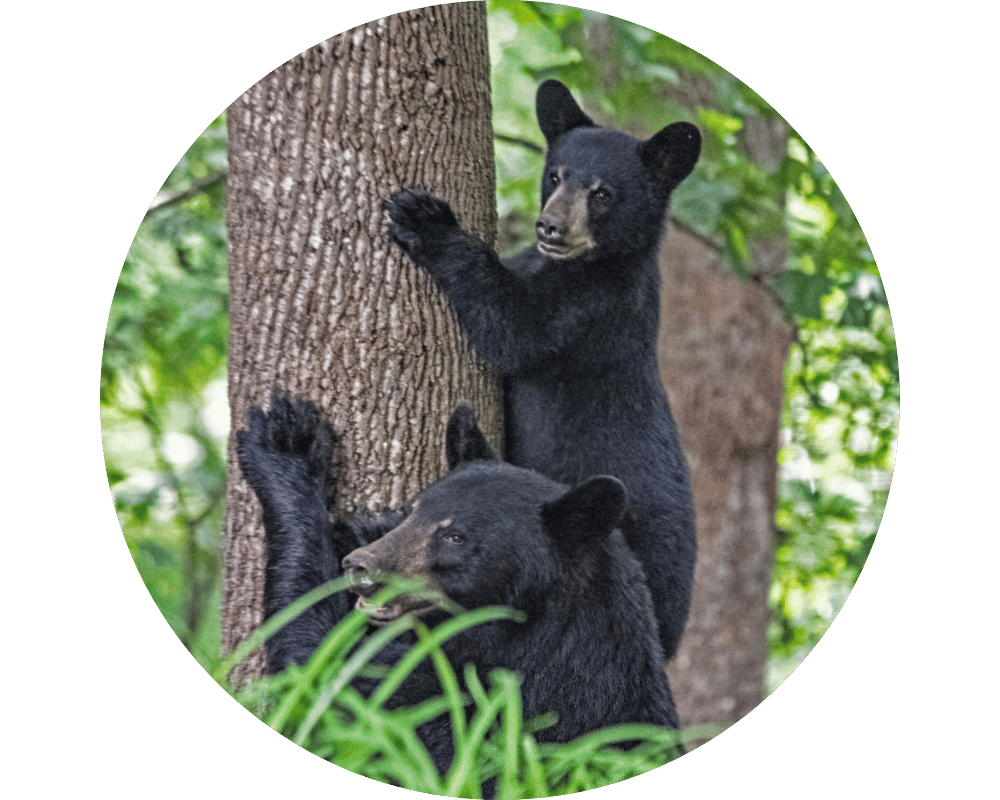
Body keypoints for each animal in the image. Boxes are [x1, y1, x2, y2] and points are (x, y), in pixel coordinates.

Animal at [236, 390, 679, 774]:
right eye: (412, 510)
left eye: (455, 537)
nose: (360, 566)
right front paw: (362, 523)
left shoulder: (476, 699)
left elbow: (326, 670)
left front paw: (286, 447)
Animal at [384, 79, 701, 660]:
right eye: (555, 175)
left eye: (602, 193)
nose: (549, 226)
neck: (588, 264)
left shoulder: (589, 312)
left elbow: (515, 328)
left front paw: (424, 218)